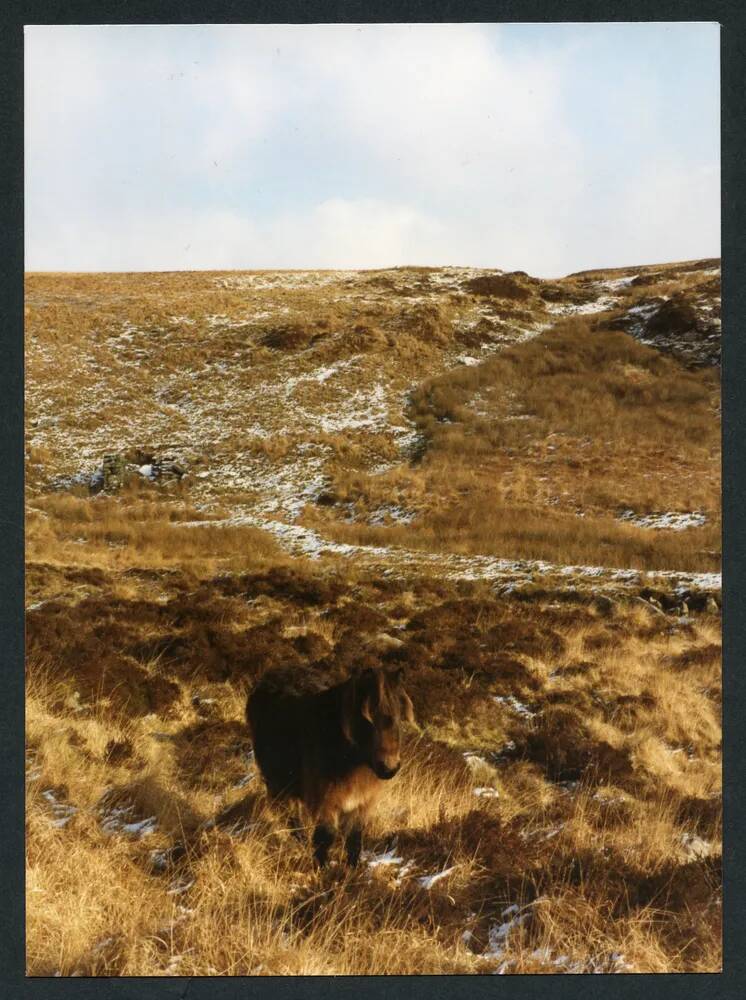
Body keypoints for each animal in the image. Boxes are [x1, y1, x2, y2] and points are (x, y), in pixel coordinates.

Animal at [247, 664, 416, 868]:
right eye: (367, 719)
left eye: (399, 717)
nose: (389, 768)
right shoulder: (325, 799)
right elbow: (326, 835)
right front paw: (322, 867)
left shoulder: (362, 801)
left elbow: (354, 836)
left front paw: (353, 867)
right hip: (278, 782)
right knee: (291, 813)